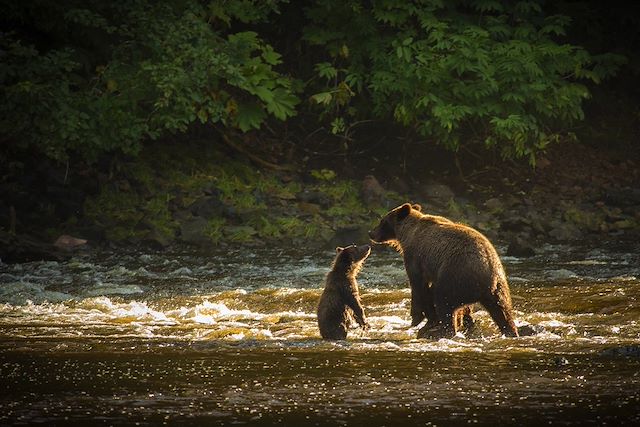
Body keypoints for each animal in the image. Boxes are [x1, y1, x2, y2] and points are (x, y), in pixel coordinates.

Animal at [370, 202, 520, 340]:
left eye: (382, 221)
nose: (371, 233)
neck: (408, 234)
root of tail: (487, 278)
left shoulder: (415, 257)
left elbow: (418, 285)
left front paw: (417, 318)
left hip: (455, 275)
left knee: (443, 300)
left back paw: (438, 332)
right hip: (498, 288)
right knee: (503, 312)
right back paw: (510, 331)